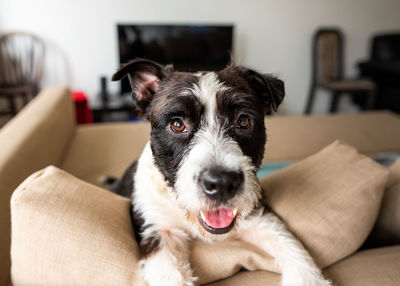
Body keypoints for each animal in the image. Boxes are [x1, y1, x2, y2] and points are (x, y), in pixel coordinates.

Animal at [111, 58, 332, 286]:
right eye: (177, 124)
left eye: (243, 121)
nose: (222, 183)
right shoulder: (157, 230)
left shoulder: (258, 216)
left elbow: (290, 245)